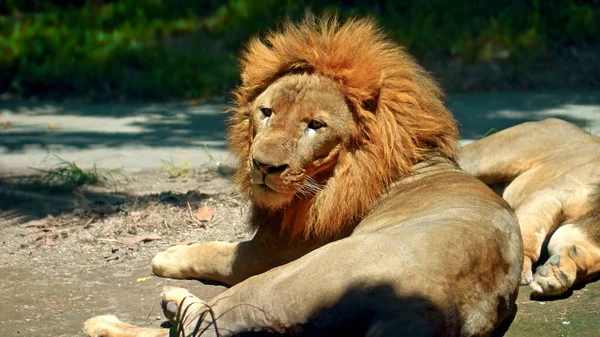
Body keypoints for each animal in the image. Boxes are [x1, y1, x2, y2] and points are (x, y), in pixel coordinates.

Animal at [85, 15, 524, 336]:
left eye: (316, 125)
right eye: (266, 112)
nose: (264, 166)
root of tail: (419, 311)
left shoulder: (264, 253)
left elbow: (216, 251)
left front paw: (169, 253)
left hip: (280, 282)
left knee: (200, 326)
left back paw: (120, 317)